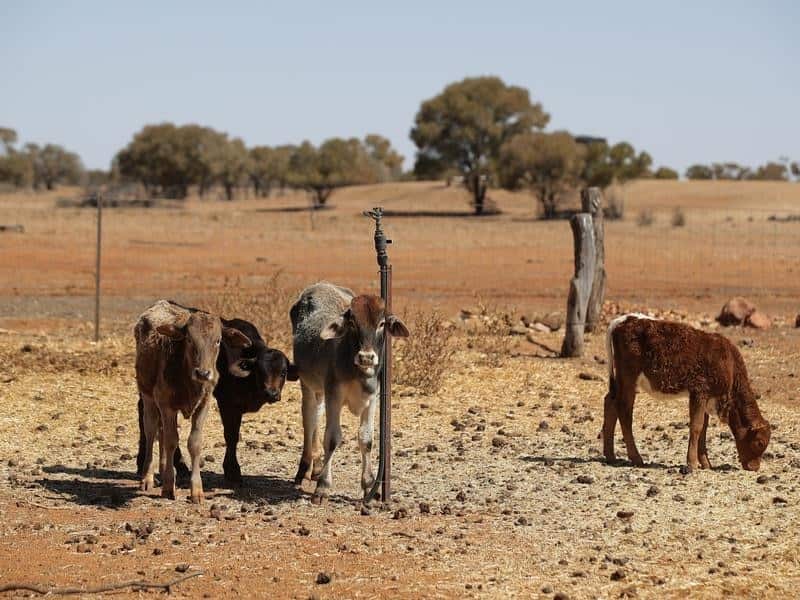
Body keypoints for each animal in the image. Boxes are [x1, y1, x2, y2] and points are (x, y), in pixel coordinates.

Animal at [135, 300, 251, 503]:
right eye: (189, 339)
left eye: (218, 340)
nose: (203, 373)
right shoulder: (166, 405)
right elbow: (172, 440)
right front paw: (168, 486)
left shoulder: (204, 404)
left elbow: (194, 443)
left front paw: (196, 490)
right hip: (147, 396)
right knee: (151, 432)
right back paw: (147, 477)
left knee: (161, 432)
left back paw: (164, 468)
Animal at [136, 307, 297, 487]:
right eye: (260, 371)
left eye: (283, 372)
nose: (272, 393)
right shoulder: (227, 404)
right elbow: (231, 436)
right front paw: (233, 471)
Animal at [290, 282, 409, 503]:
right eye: (352, 322)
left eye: (382, 323)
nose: (366, 357)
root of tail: (319, 285)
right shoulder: (334, 396)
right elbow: (332, 438)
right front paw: (323, 487)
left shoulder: (372, 399)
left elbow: (366, 439)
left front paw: (369, 485)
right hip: (308, 384)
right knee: (309, 420)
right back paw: (304, 469)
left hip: (320, 391)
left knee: (316, 415)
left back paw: (316, 467)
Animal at [603, 313, 771, 471]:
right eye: (760, 443)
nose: (755, 467)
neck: (729, 364)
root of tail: (624, 319)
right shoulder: (699, 391)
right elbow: (696, 426)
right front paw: (692, 463)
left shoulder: (707, 397)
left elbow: (703, 428)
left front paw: (706, 463)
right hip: (629, 378)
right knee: (624, 410)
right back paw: (636, 458)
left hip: (621, 381)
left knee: (610, 402)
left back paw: (610, 456)